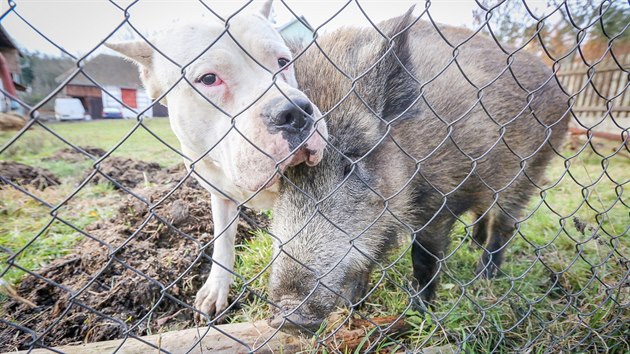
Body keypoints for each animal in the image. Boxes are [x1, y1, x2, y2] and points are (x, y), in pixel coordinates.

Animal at [107, 0, 328, 320]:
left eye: (283, 61)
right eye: (209, 79)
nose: (295, 112)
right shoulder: (219, 194)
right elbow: (222, 242)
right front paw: (215, 289)